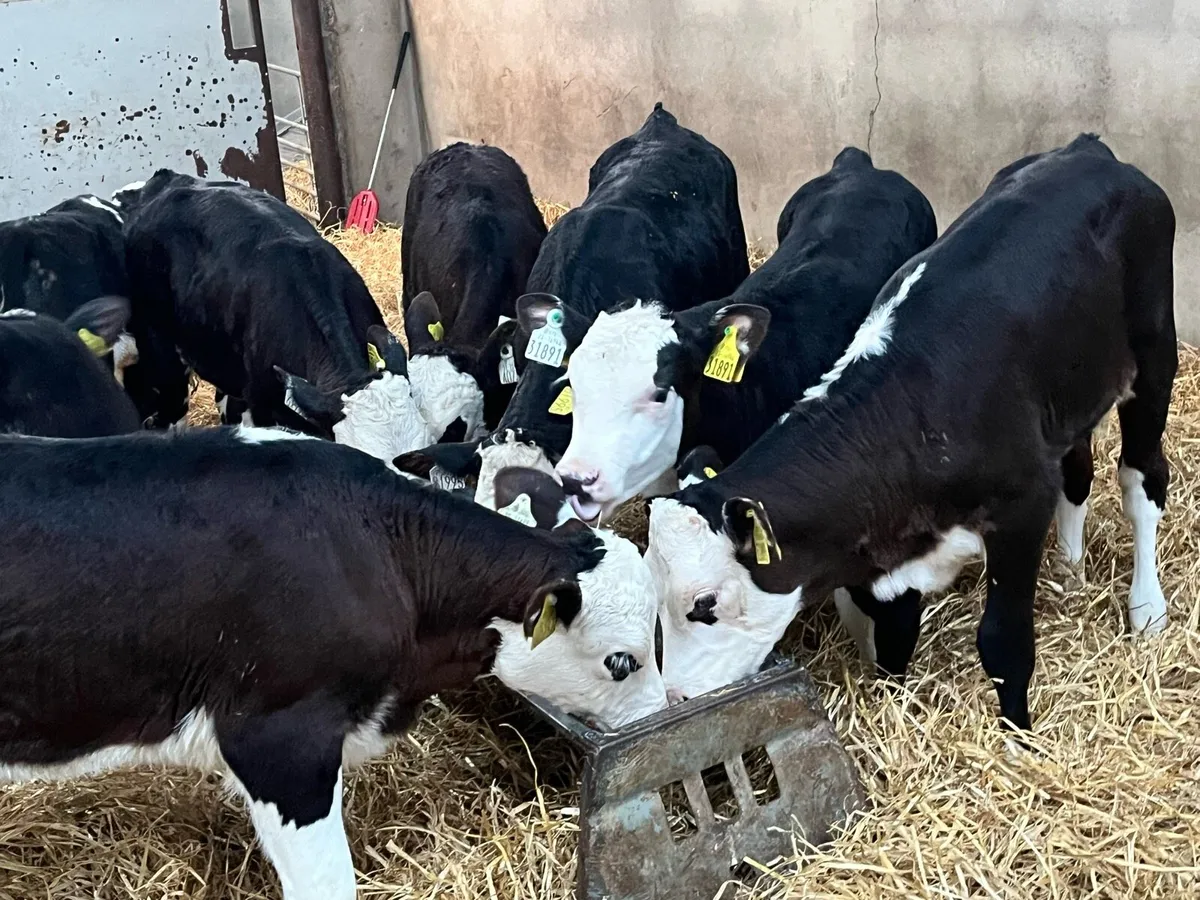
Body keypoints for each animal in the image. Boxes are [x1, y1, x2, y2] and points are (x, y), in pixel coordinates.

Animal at [646, 134, 1176, 735]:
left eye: (705, 603)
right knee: (1077, 469)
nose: (678, 696)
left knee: (1142, 479)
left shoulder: (1021, 505)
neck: (913, 422)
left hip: (1155, 356)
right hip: (1072, 387)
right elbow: (890, 630)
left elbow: (1003, 641)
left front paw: (1019, 733)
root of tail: (1090, 150)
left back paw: (1147, 608)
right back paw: (1071, 565)